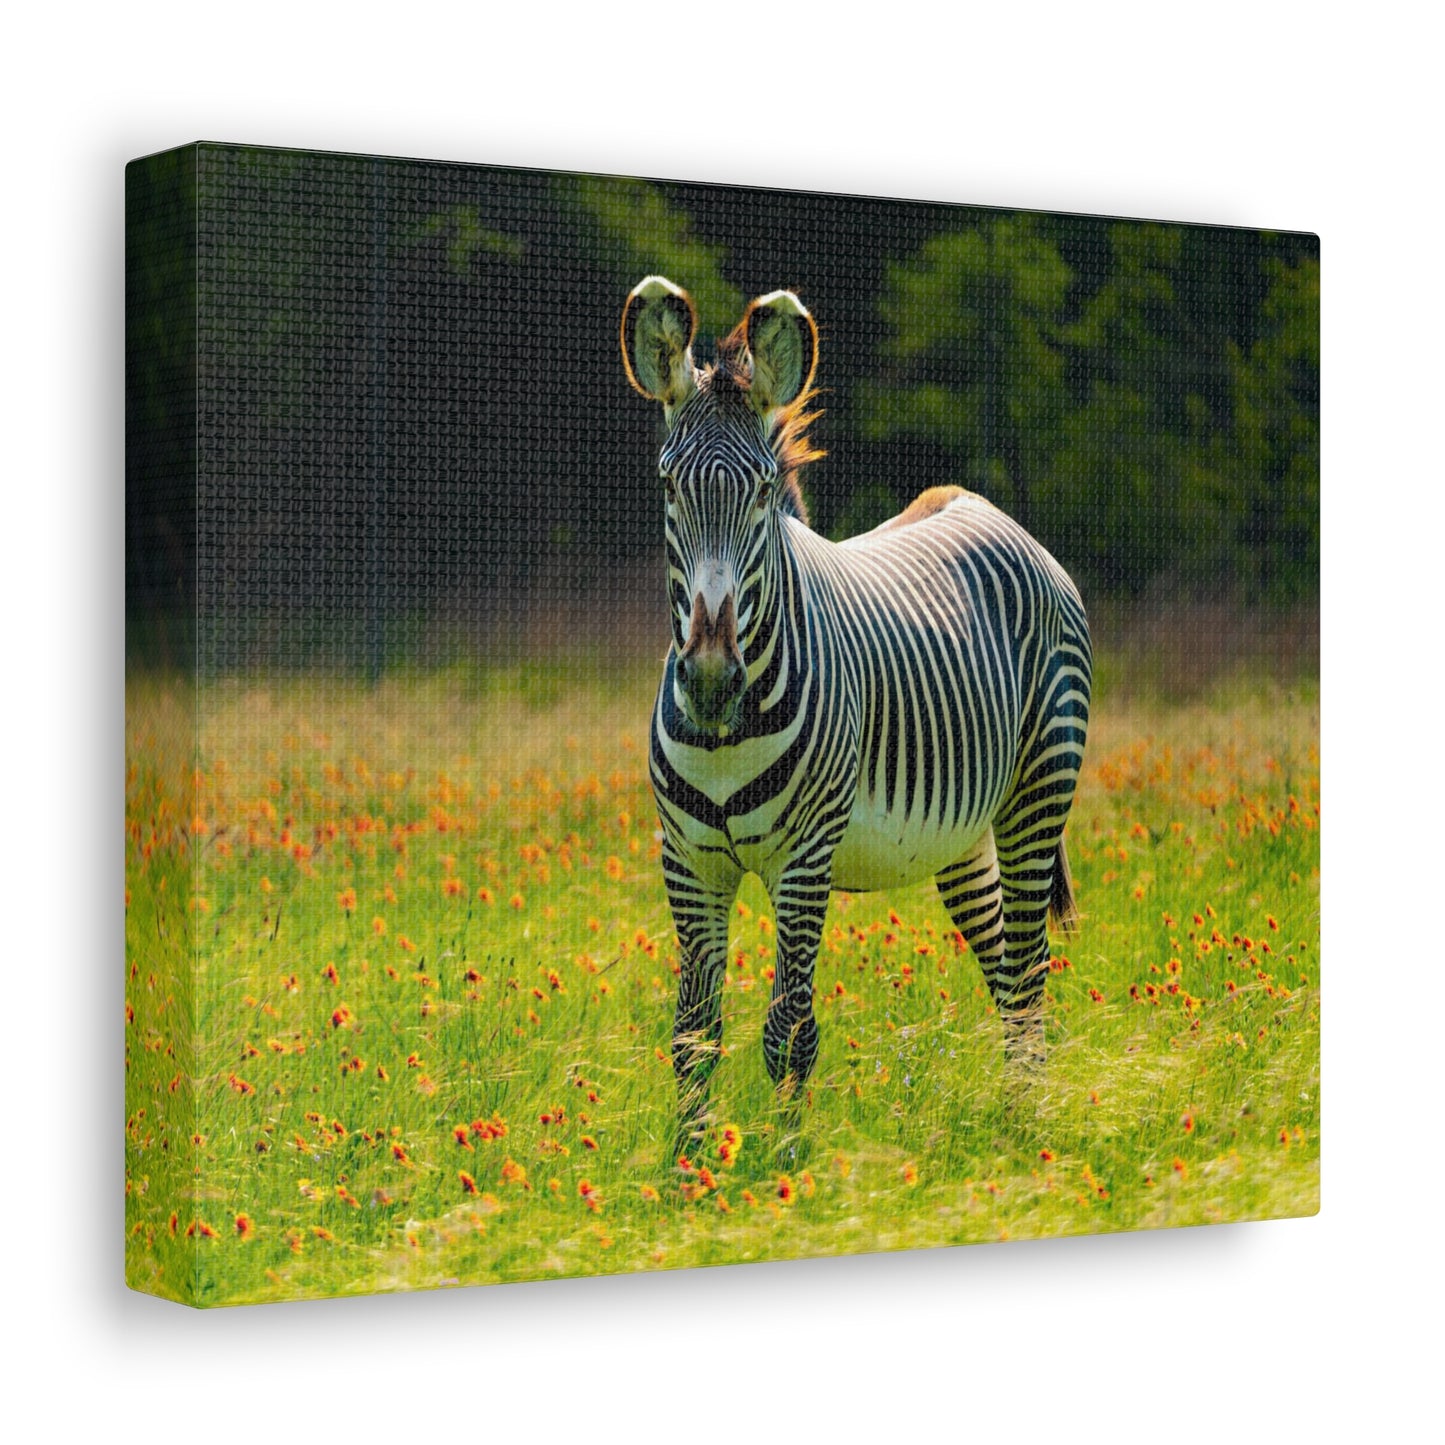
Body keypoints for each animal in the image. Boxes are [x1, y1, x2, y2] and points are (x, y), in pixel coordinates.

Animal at [621, 276, 1092, 1156]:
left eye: (762, 492)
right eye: (666, 487)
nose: (710, 679)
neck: (726, 735)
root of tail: (975, 503)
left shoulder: (804, 859)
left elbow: (789, 1030)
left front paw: (785, 1163)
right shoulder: (688, 859)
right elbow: (692, 1035)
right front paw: (688, 1170)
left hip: (1037, 791)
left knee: (1029, 968)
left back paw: (1026, 1131)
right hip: (960, 837)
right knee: (1003, 965)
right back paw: (1015, 1116)